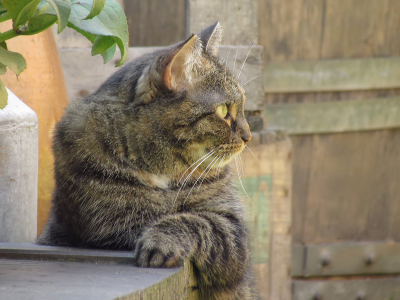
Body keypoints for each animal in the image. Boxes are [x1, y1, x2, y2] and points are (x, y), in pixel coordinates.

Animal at [38, 22, 256, 298]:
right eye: (224, 110)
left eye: (243, 104)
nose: (248, 136)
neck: (162, 170)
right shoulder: (113, 227)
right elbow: (185, 219)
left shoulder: (231, 226)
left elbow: (195, 219)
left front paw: (160, 241)